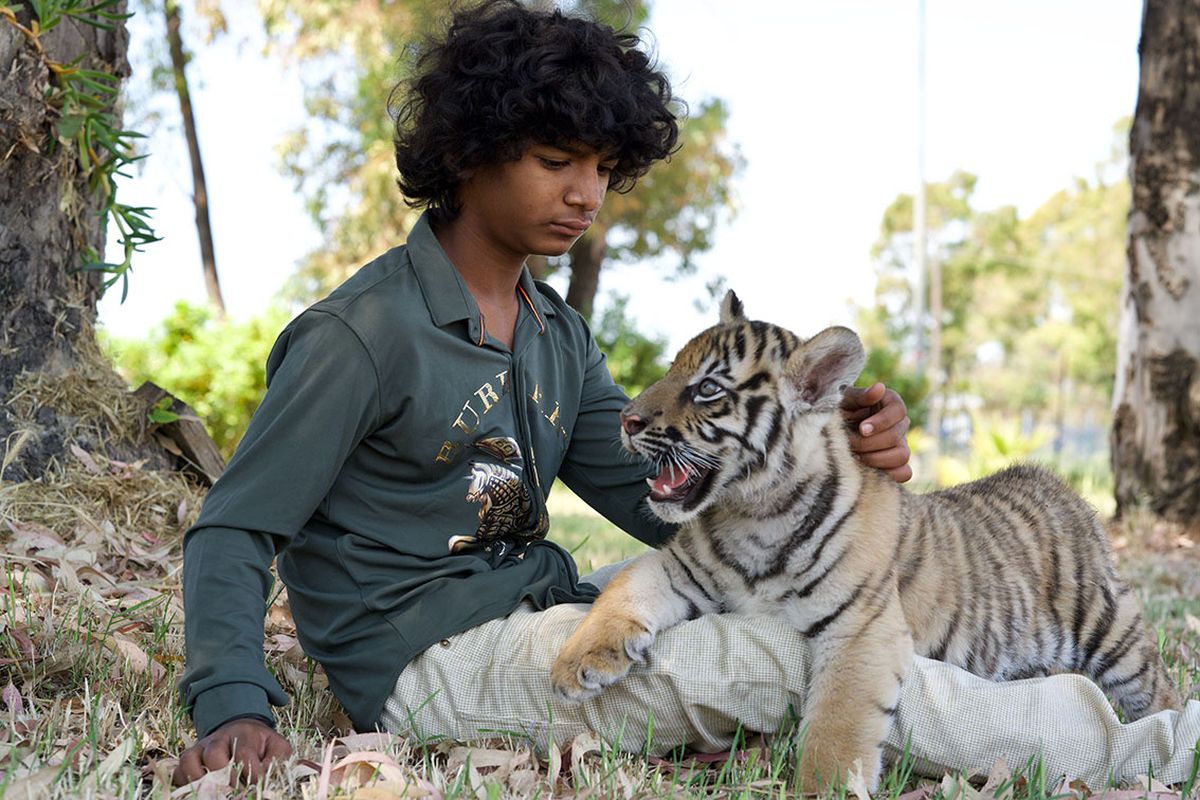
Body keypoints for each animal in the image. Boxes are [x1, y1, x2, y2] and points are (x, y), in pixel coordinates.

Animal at [550, 290, 1179, 792]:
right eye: (671, 369)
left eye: (706, 388)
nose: (627, 420)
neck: (753, 512)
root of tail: (1051, 479)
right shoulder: (677, 569)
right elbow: (623, 592)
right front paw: (575, 665)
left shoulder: (859, 626)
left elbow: (837, 725)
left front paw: (822, 790)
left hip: (1111, 629)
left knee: (1158, 692)